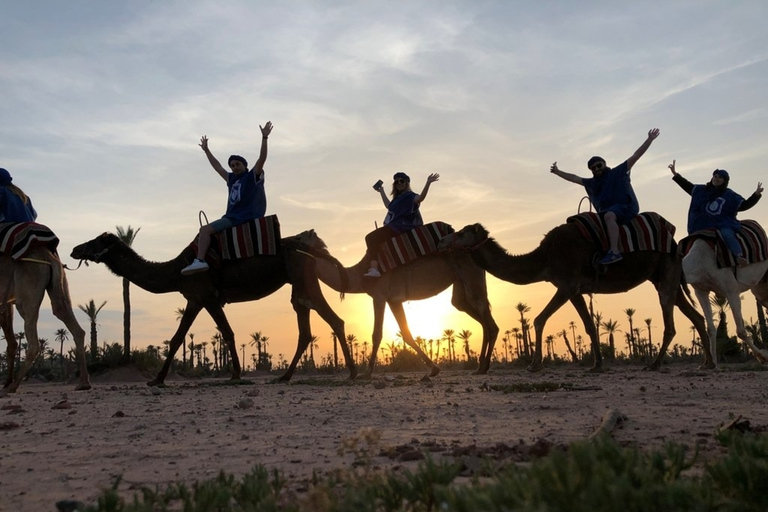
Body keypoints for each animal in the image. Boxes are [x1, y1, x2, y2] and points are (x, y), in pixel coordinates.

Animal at [0, 247, 91, 392]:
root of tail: (49, 257)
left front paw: (8, 383)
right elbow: (11, 342)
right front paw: (7, 381)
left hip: (27, 297)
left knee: (34, 343)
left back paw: (13, 386)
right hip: (60, 284)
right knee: (71, 322)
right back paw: (84, 383)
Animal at [70, 231, 356, 384]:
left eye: (96, 240)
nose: (74, 249)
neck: (176, 270)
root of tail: (311, 247)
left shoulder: (206, 297)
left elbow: (225, 333)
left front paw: (235, 374)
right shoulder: (194, 299)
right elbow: (177, 339)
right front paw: (157, 379)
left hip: (304, 278)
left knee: (334, 320)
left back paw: (352, 372)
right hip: (300, 283)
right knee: (306, 327)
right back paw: (285, 377)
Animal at [300, 230, 498, 378]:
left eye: (300, 236)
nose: (292, 238)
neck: (359, 275)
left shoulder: (379, 295)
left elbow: (377, 334)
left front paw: (367, 372)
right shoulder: (394, 300)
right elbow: (406, 333)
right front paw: (433, 369)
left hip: (471, 274)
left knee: (485, 314)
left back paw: (483, 367)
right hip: (460, 281)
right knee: (465, 306)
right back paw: (481, 366)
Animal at [436, 224, 712, 372]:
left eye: (462, 232)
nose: (441, 241)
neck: (544, 258)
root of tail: (675, 243)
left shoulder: (566, 284)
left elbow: (538, 319)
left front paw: (535, 365)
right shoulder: (576, 291)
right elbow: (589, 326)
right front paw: (597, 364)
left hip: (666, 270)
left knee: (670, 321)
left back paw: (655, 364)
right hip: (664, 275)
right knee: (695, 316)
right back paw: (707, 363)